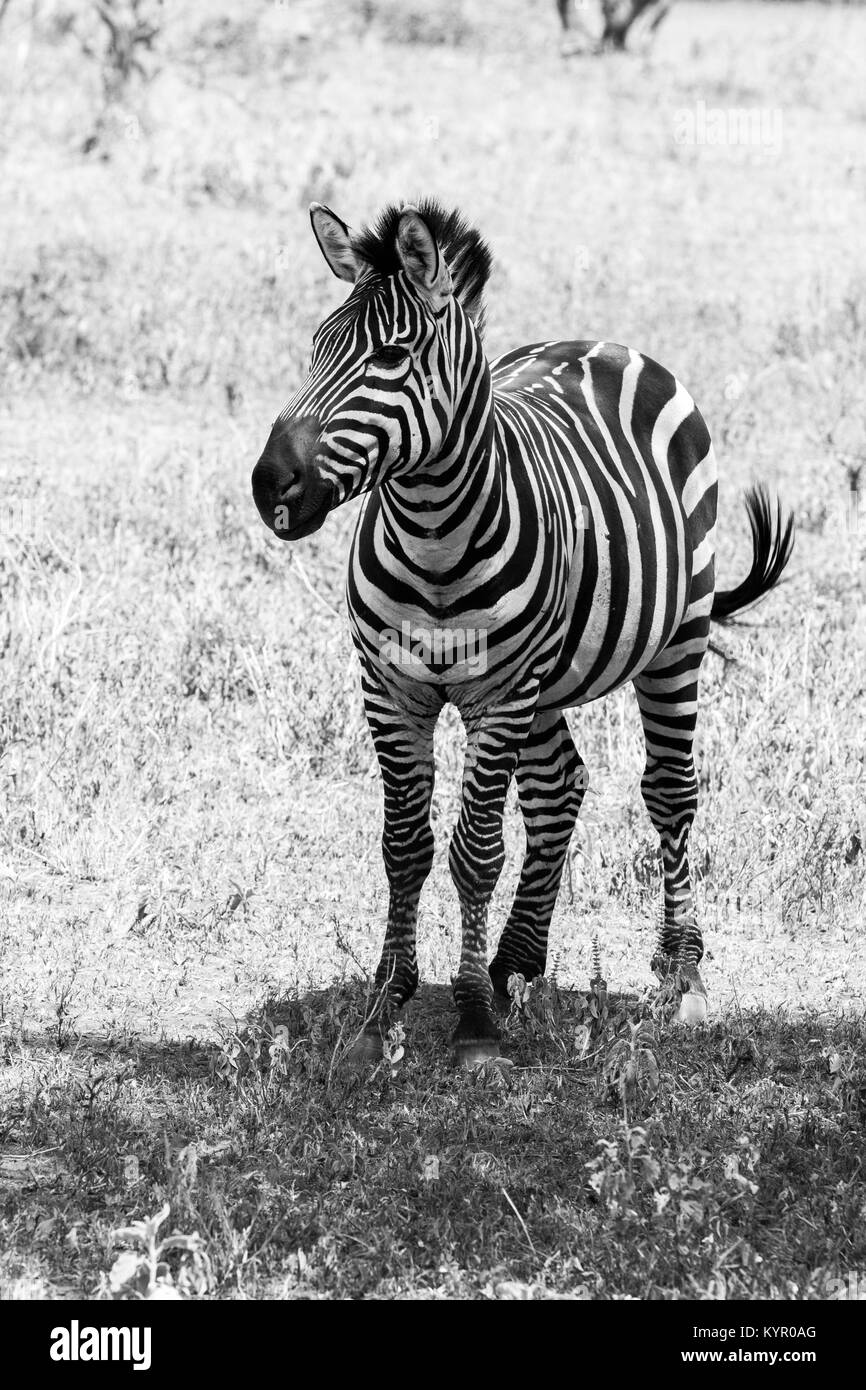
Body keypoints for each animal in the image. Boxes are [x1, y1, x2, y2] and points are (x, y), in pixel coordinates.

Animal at [251, 199, 794, 1065]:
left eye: (392, 355)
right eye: (315, 348)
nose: (272, 484)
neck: (434, 538)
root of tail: (602, 343)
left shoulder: (498, 697)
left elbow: (476, 851)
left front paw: (473, 1021)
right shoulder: (391, 691)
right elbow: (404, 847)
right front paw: (386, 1003)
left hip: (674, 639)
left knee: (670, 791)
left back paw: (680, 975)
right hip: (544, 682)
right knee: (559, 790)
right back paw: (517, 961)